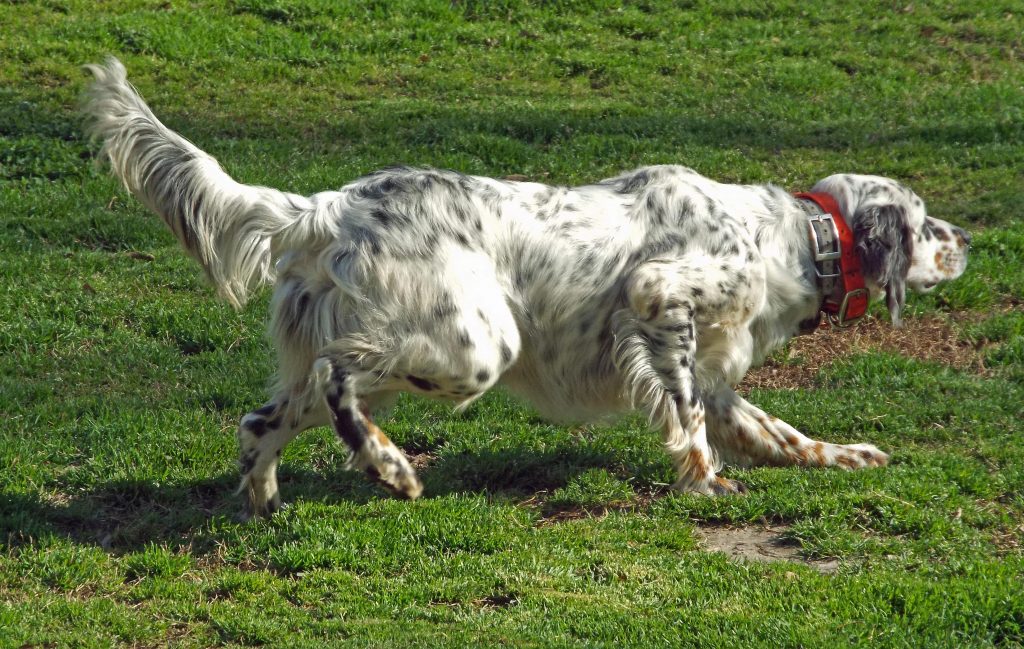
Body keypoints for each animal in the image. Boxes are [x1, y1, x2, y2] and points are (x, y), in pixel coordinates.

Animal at [86, 59, 966, 515]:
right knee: (339, 380)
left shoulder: (718, 368)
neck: (793, 237)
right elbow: (687, 414)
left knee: (262, 417)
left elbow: (774, 429)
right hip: (471, 343)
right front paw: (704, 479)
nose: (968, 240)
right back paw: (389, 466)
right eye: (926, 222)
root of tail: (327, 206)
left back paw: (267, 494)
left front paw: (844, 454)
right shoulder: (659, 295)